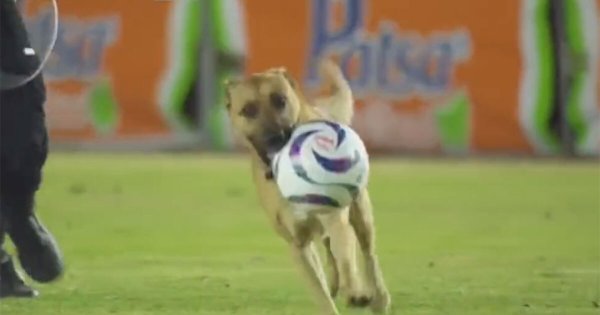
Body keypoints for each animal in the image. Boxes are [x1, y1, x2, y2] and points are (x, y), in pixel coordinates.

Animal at [223, 60, 392, 314]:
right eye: (248, 110)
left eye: (280, 100)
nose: (276, 139)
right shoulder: (298, 246)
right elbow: (321, 295)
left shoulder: (335, 219)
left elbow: (347, 258)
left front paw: (356, 292)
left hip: (361, 214)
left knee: (367, 254)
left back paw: (377, 296)